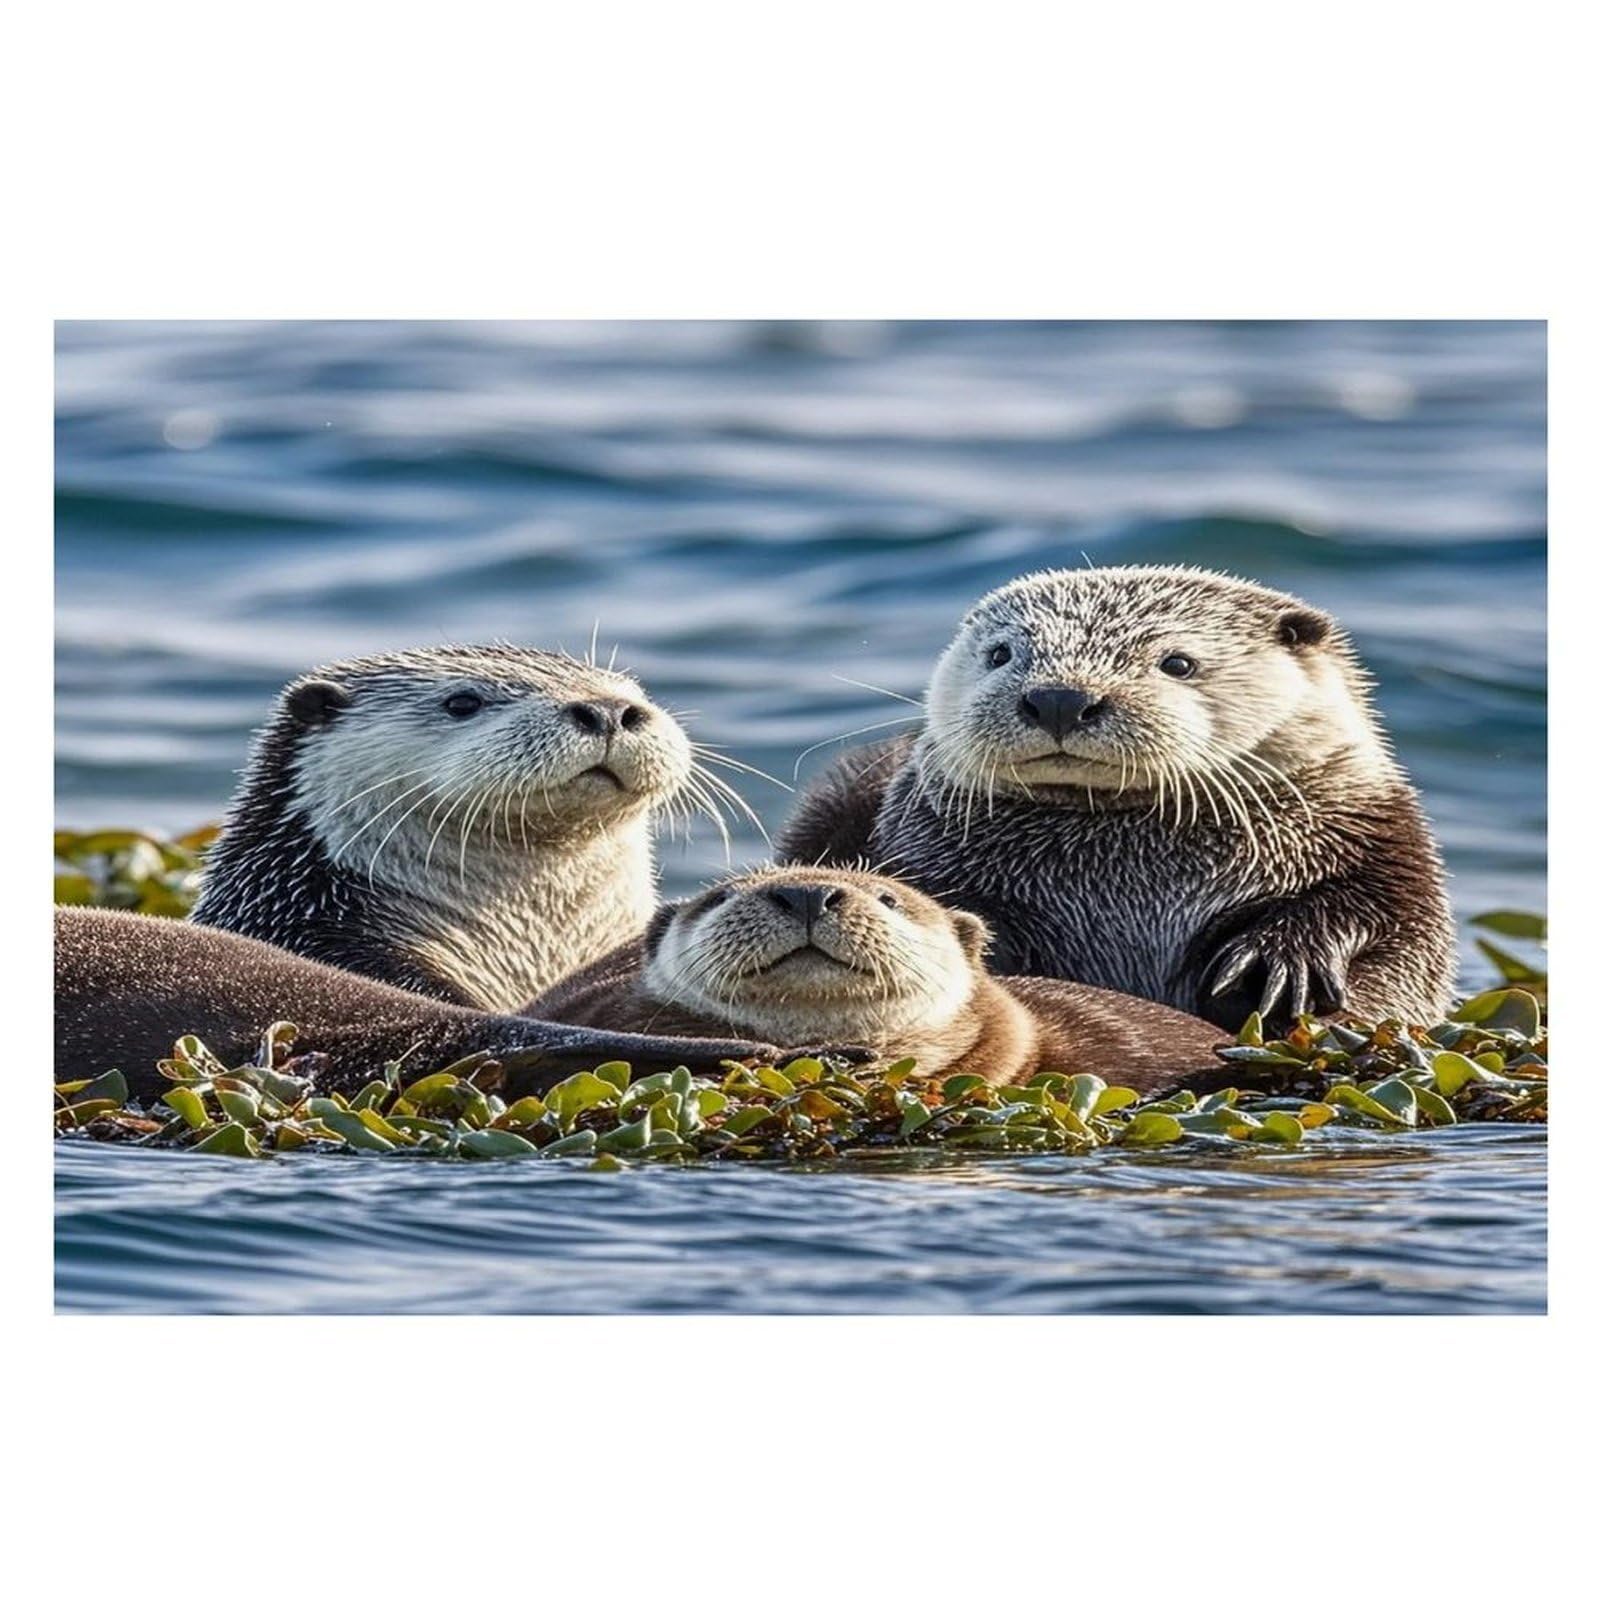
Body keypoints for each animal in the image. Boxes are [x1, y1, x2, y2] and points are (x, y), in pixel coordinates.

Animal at [776, 566, 1456, 1033]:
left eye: (1177, 663)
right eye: (1001, 653)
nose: (1059, 697)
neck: (1127, 881)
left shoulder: (1383, 847)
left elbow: (1387, 926)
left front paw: (1287, 961)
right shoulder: (927, 855)